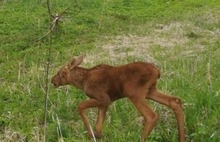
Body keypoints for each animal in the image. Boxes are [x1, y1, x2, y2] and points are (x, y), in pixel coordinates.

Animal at [50, 55, 185, 142]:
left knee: (151, 115)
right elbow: (99, 125)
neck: (82, 81)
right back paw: (181, 138)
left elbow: (80, 106)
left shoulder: (103, 98)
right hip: (150, 91)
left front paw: (89, 133)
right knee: (175, 101)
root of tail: (157, 72)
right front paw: (95, 135)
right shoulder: (105, 103)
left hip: (135, 94)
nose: (52, 81)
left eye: (59, 72)